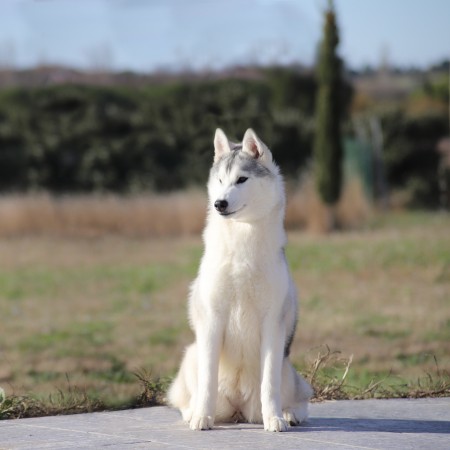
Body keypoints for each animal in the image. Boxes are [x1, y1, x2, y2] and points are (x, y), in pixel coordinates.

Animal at [167, 128, 312, 430]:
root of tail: (238, 410)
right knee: (186, 397)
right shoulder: (212, 319)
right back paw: (193, 412)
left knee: (300, 398)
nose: (219, 203)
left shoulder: (272, 323)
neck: (242, 239)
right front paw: (202, 417)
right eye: (221, 181)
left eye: (241, 179)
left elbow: (270, 385)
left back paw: (289, 414)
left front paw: (274, 419)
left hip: (287, 369)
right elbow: (207, 382)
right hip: (191, 355)